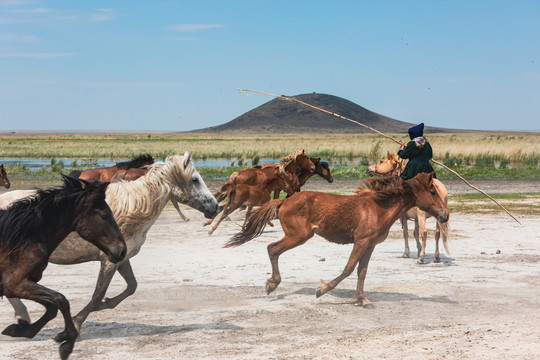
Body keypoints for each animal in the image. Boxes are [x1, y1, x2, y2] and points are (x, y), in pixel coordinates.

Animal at [0, 176, 125, 360]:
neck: (21, 239)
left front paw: (20, 329)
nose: (122, 250)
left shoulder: (23, 284)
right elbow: (61, 300)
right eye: (104, 215)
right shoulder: (15, 285)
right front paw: (67, 343)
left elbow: (53, 307)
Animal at [3, 151, 219, 332]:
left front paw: (104, 305)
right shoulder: (108, 260)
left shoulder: (121, 257)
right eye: (195, 179)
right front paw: (77, 322)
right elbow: (98, 294)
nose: (215, 206)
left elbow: (131, 286)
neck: (132, 208)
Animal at [226, 173, 450, 306]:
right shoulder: (360, 242)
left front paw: (361, 299)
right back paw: (272, 284)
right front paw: (322, 290)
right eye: (432, 191)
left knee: (272, 249)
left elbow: (362, 272)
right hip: (298, 236)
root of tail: (284, 201)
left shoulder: (370, 245)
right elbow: (349, 269)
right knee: (272, 248)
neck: (378, 208)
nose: (445, 215)